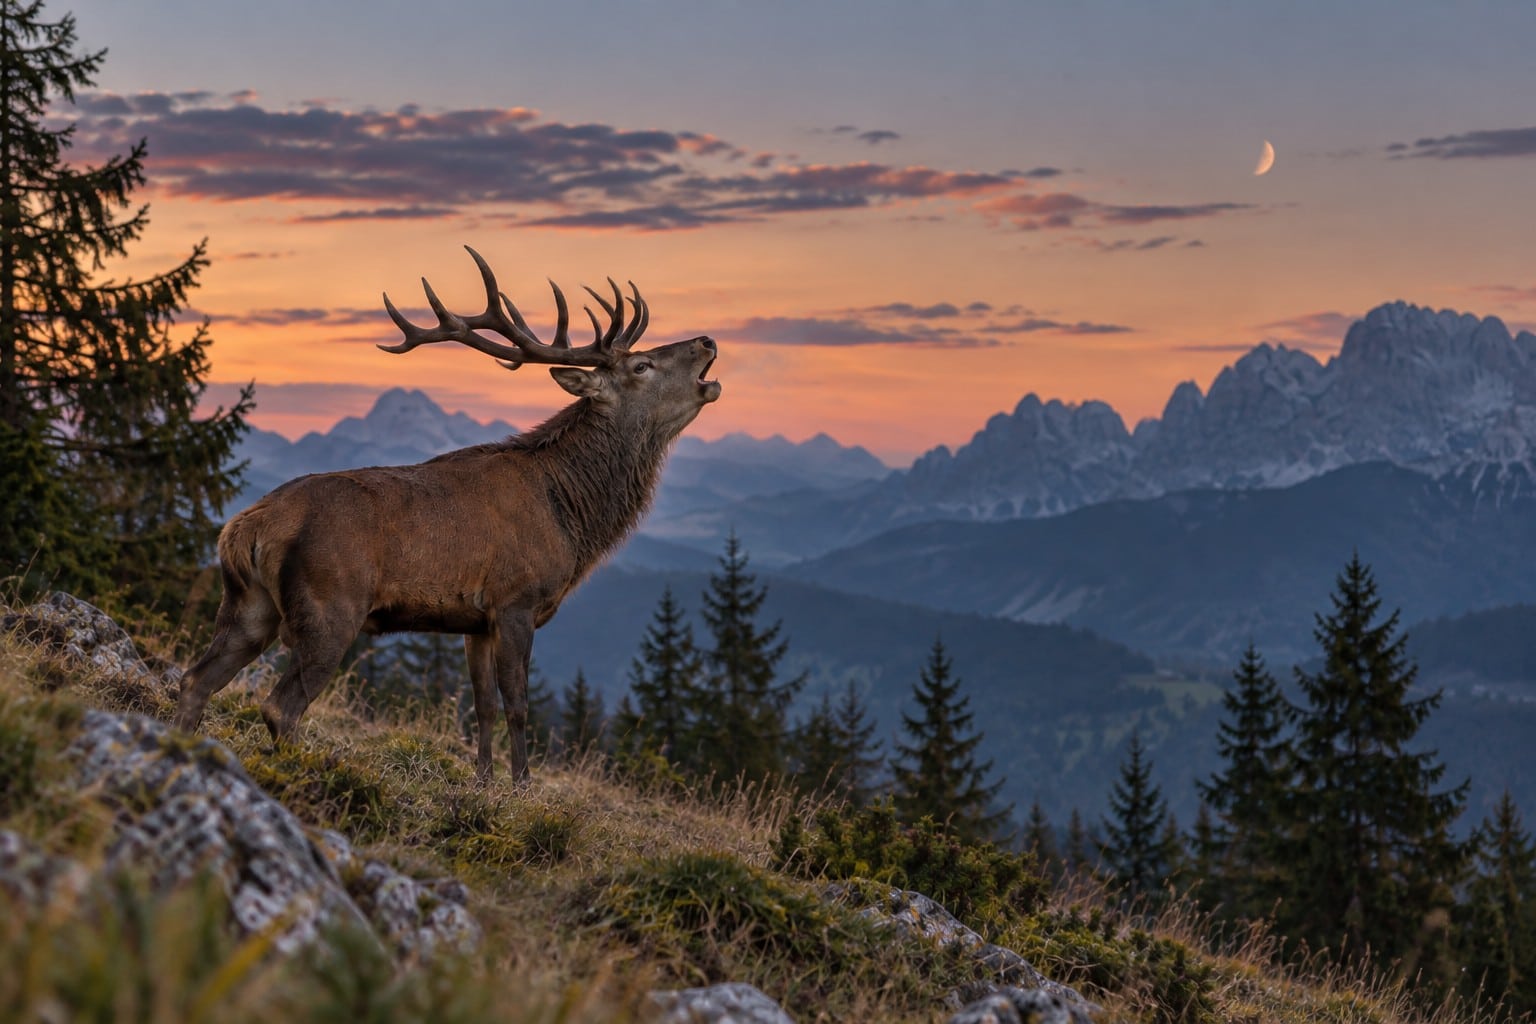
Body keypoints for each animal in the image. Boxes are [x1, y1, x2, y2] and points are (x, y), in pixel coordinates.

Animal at [172, 246, 721, 782]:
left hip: (248, 604)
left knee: (196, 679)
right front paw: (522, 787)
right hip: (330, 605)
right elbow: (518, 704)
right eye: (642, 366)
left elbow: (483, 706)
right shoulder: (515, 600)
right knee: (280, 706)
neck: (570, 515)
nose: (708, 340)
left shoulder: (474, 621)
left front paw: (483, 782)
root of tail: (245, 527)